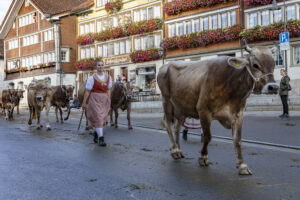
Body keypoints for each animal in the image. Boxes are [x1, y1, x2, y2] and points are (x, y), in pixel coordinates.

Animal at [157, 41, 278, 175]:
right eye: (255, 65)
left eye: (274, 63)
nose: (273, 87)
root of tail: (165, 66)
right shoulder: (203, 110)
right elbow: (207, 136)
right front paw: (203, 157)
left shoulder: (238, 114)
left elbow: (238, 140)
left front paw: (242, 165)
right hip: (166, 101)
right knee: (168, 125)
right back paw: (175, 151)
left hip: (181, 108)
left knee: (177, 128)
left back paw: (179, 150)